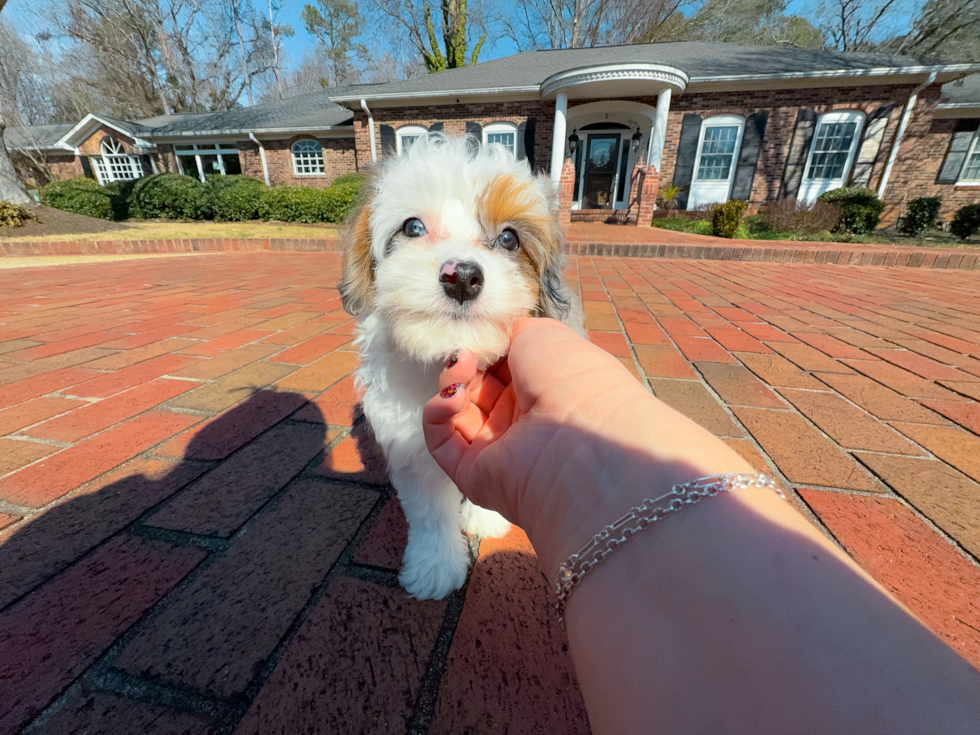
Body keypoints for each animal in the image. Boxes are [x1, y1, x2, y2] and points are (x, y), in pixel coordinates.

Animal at [338, 135, 580, 600]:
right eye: (413, 228)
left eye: (509, 238)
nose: (463, 276)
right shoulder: (410, 440)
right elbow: (430, 511)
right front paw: (434, 566)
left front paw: (487, 517)